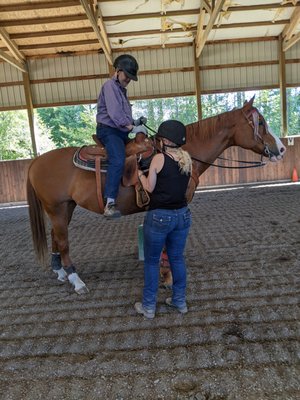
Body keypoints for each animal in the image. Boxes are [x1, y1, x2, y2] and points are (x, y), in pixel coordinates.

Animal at [27, 99, 286, 294]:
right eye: (260, 122)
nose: (282, 149)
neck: (179, 154)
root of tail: (36, 162)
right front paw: (169, 277)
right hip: (57, 208)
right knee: (63, 241)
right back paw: (76, 280)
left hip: (65, 208)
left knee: (56, 238)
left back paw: (60, 272)